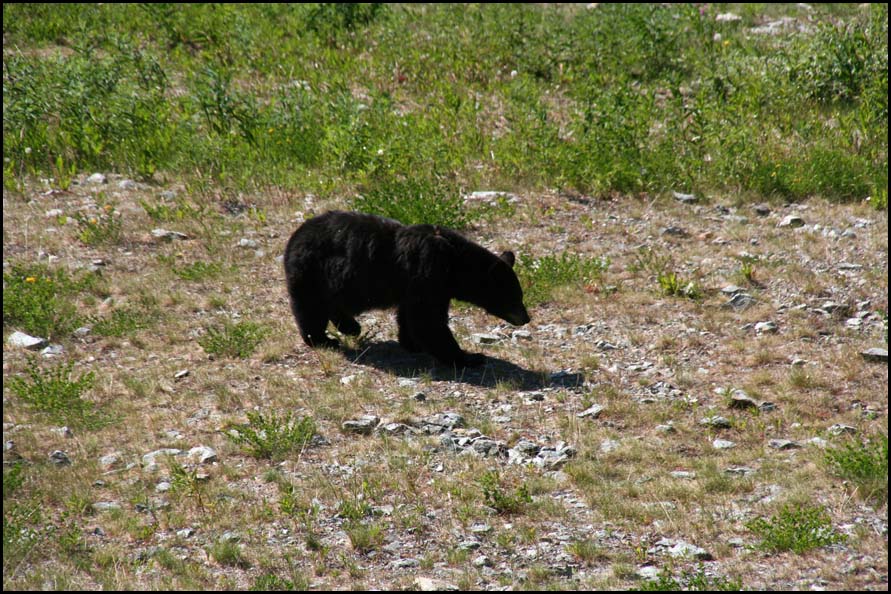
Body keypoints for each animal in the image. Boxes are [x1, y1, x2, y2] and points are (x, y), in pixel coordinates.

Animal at [283, 210, 530, 367]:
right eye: (516, 297)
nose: (526, 318)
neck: (455, 263)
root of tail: (294, 237)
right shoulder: (428, 269)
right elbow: (427, 319)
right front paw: (469, 358)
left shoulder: (419, 285)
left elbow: (410, 315)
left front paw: (412, 344)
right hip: (311, 272)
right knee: (311, 309)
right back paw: (322, 339)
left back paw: (350, 326)